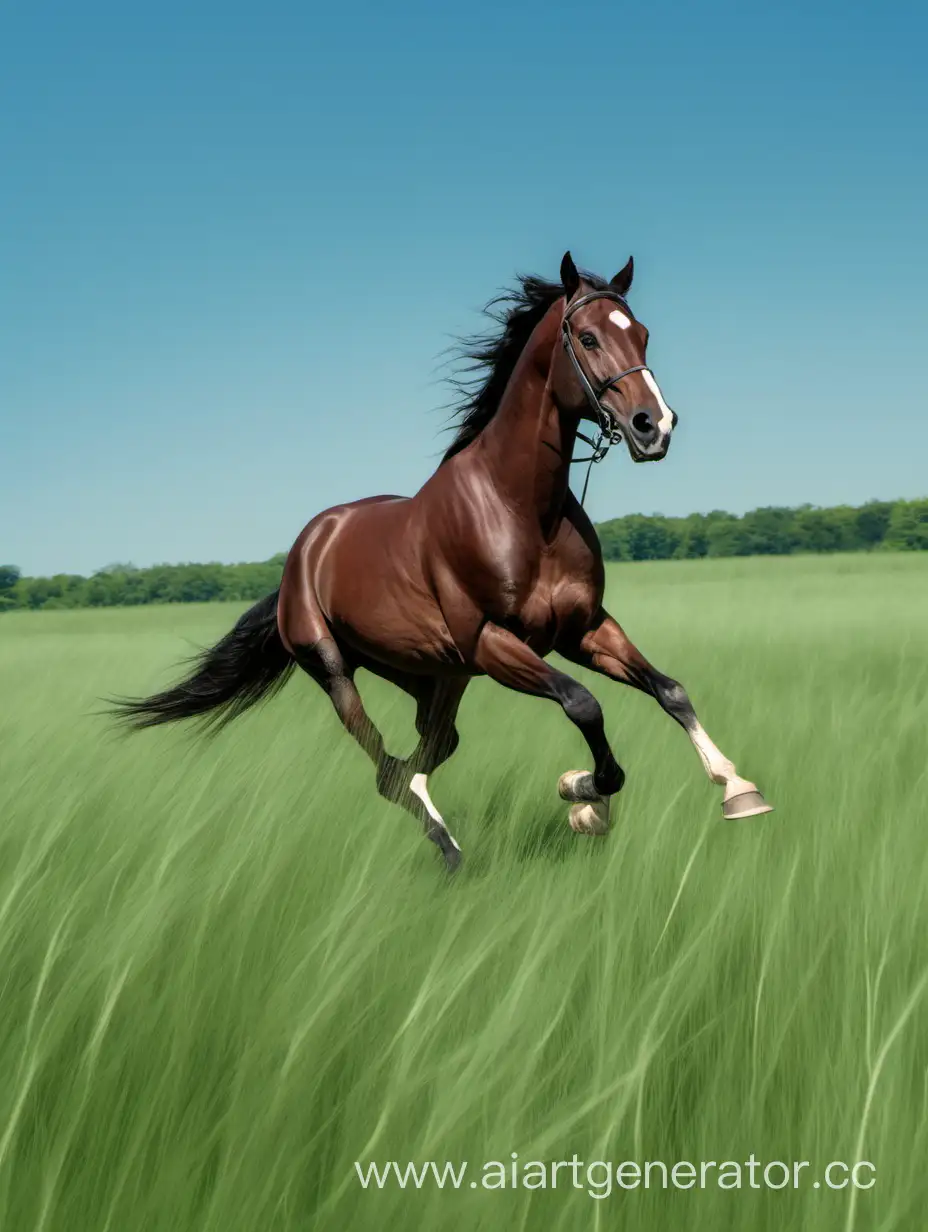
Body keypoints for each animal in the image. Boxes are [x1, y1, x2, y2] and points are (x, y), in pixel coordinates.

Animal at [112, 252, 769, 867]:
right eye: (587, 338)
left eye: (644, 334)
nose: (654, 427)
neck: (523, 508)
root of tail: (304, 551)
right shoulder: (493, 642)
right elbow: (583, 704)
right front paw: (584, 798)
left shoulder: (582, 629)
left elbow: (670, 690)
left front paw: (737, 790)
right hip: (336, 669)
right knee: (386, 769)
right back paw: (448, 849)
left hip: (433, 675)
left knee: (427, 753)